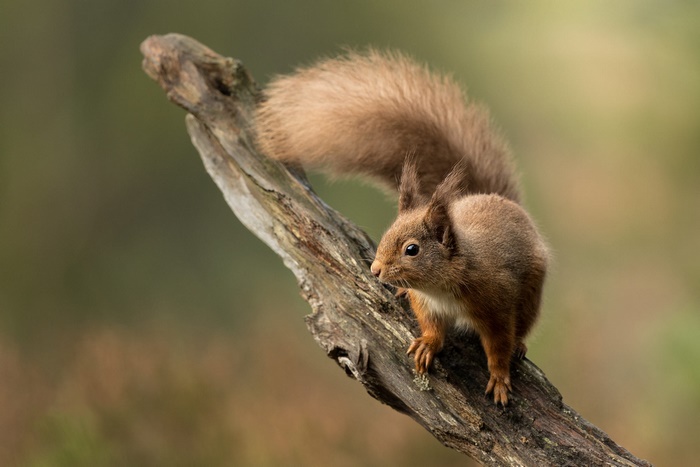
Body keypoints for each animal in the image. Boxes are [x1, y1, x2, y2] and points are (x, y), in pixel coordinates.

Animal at [255, 49, 549, 406]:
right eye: (384, 237)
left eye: (412, 249)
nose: (376, 270)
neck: (442, 286)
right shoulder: (426, 304)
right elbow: (432, 327)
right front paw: (427, 344)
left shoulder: (496, 302)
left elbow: (499, 345)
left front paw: (500, 378)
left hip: (532, 290)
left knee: (524, 323)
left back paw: (521, 344)